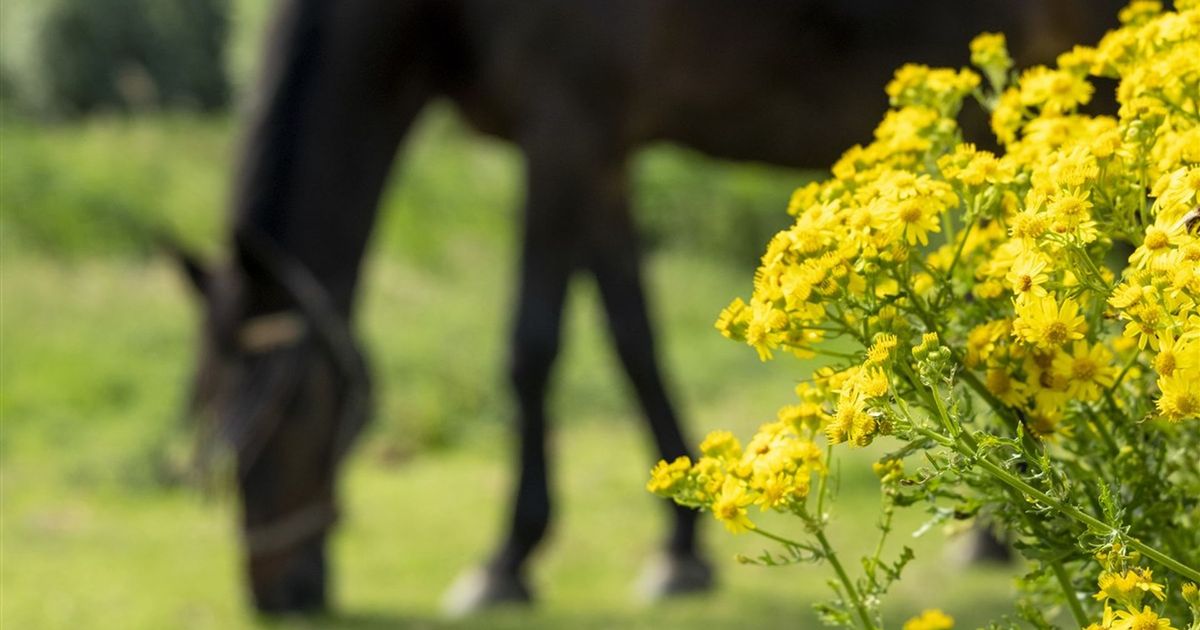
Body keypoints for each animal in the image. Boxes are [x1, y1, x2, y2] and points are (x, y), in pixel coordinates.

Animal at [177, 0, 1113, 614]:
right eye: (206, 413)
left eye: (288, 414)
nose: (276, 594)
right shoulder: (600, 156)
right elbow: (632, 341)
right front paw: (678, 552)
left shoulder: (565, 130)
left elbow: (532, 346)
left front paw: (505, 562)